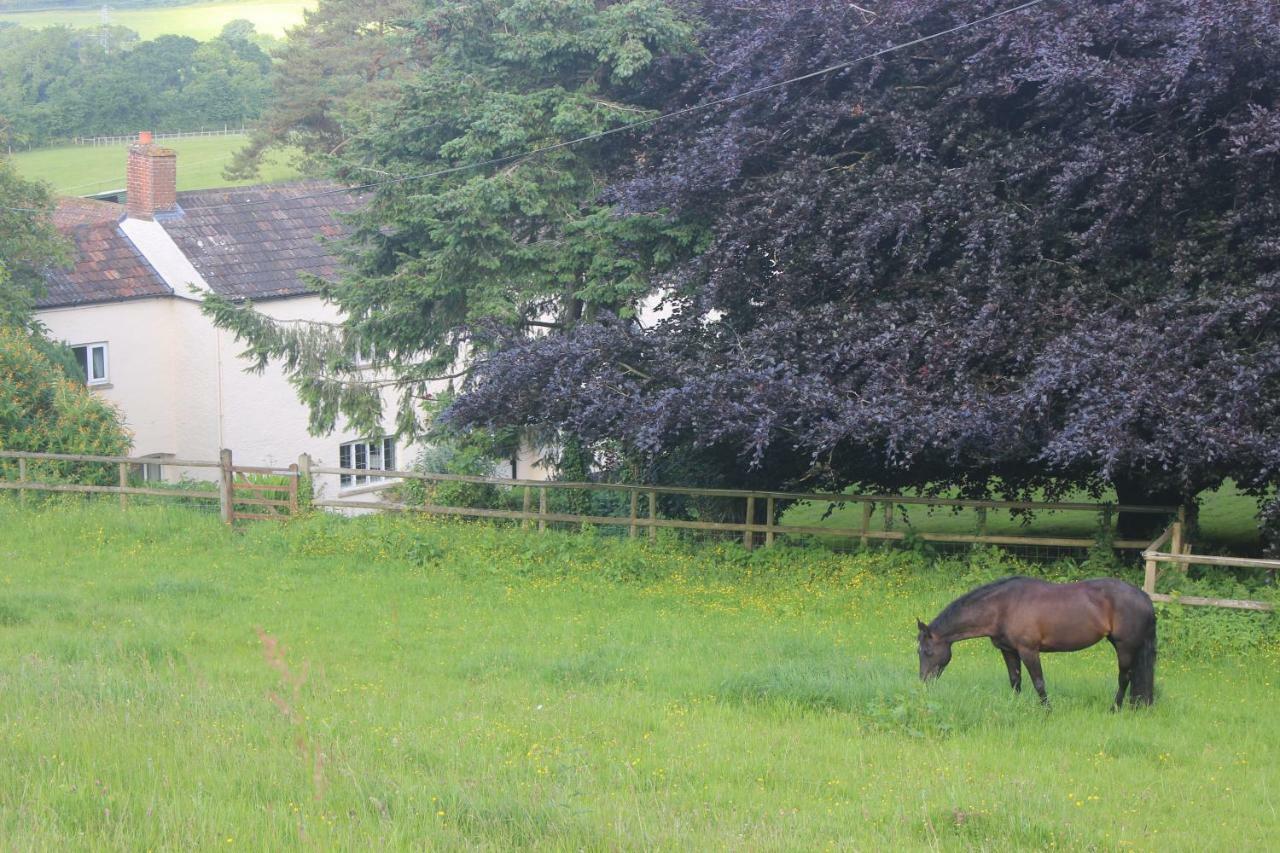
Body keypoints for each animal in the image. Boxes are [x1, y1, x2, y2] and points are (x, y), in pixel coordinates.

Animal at [916, 573, 1157, 706]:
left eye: (927, 651)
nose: (924, 683)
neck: (1004, 606)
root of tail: (1143, 597)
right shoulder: (1009, 650)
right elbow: (1015, 680)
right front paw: (1015, 705)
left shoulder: (1028, 650)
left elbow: (1039, 682)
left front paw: (1047, 710)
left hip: (1125, 648)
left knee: (1124, 678)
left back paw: (1114, 708)